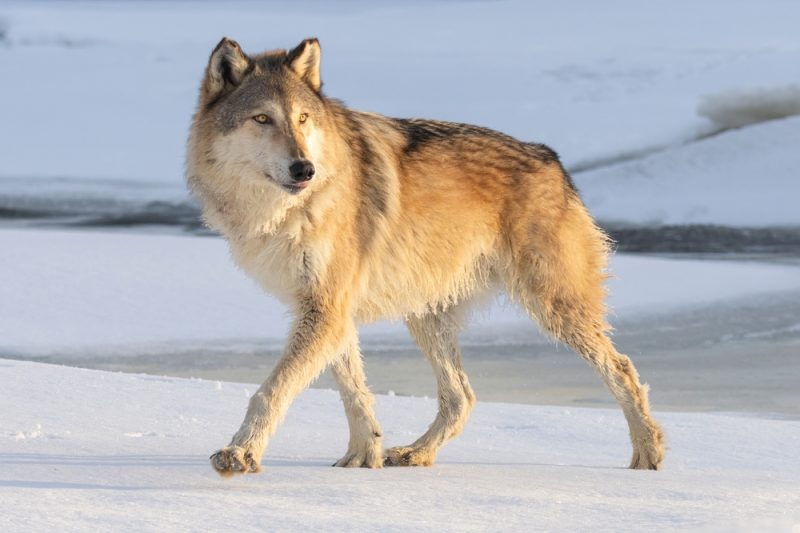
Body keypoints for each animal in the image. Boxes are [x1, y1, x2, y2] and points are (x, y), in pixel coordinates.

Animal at [186, 37, 665, 476]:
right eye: (262, 119)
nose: (305, 169)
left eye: (303, 119)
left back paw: (648, 452)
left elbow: (272, 389)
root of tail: (553, 160)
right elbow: (354, 392)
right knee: (461, 396)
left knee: (622, 368)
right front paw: (364, 455)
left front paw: (240, 453)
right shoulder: (330, 311)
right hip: (426, 315)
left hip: (552, 308)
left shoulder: (326, 309)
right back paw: (416, 453)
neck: (286, 211)